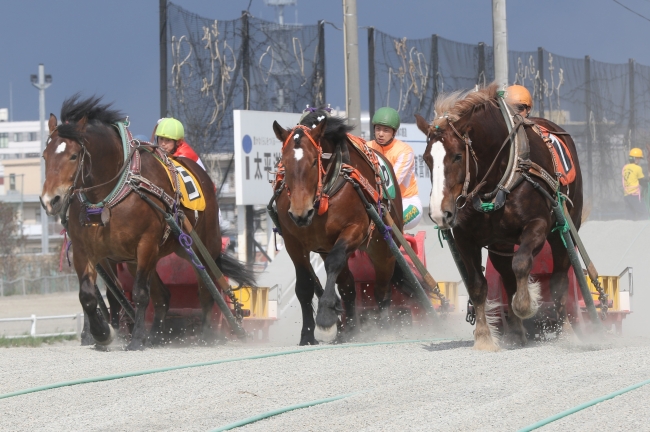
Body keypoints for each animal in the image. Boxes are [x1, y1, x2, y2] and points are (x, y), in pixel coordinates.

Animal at [40, 95, 256, 352]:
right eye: (44, 156)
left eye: (73, 156)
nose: (49, 200)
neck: (110, 196)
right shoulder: (88, 251)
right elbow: (89, 296)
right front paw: (102, 334)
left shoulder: (146, 245)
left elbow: (140, 293)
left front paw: (134, 339)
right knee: (163, 296)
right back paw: (155, 335)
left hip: (201, 247)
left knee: (207, 290)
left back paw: (207, 335)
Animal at [270, 110, 412, 344]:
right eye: (285, 163)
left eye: (313, 162)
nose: (300, 213)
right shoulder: (293, 241)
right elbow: (305, 285)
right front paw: (307, 334)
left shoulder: (355, 229)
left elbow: (335, 262)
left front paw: (326, 316)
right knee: (348, 286)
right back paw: (351, 329)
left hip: (382, 246)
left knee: (382, 288)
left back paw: (383, 327)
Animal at [416, 83, 584, 352]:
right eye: (426, 159)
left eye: (457, 156)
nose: (439, 212)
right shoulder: (465, 238)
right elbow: (477, 285)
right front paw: (484, 337)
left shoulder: (538, 225)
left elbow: (522, 263)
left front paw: (526, 304)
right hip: (500, 243)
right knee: (507, 277)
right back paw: (516, 332)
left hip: (565, 226)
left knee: (559, 277)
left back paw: (565, 331)